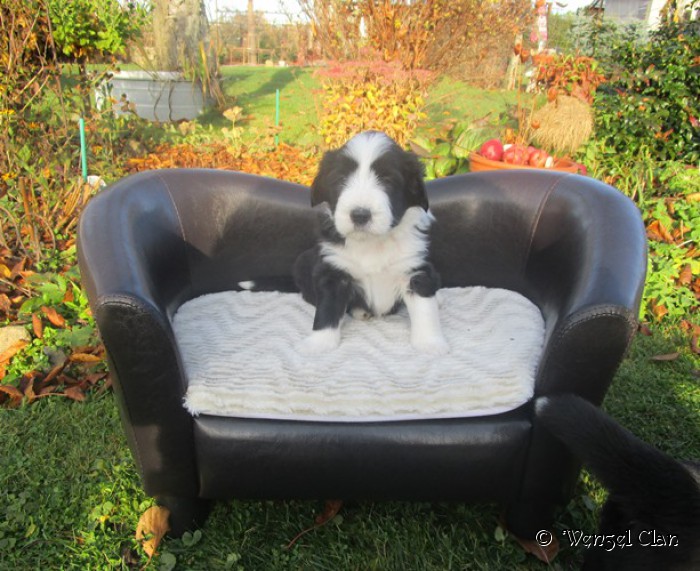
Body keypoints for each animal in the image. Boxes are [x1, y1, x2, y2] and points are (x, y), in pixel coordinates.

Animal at [292, 131, 448, 355]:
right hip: (302, 262)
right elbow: (327, 309)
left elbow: (425, 309)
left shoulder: (415, 270)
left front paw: (430, 343)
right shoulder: (334, 272)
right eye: (341, 179)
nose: (360, 215)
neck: (373, 243)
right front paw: (319, 343)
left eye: (388, 180)